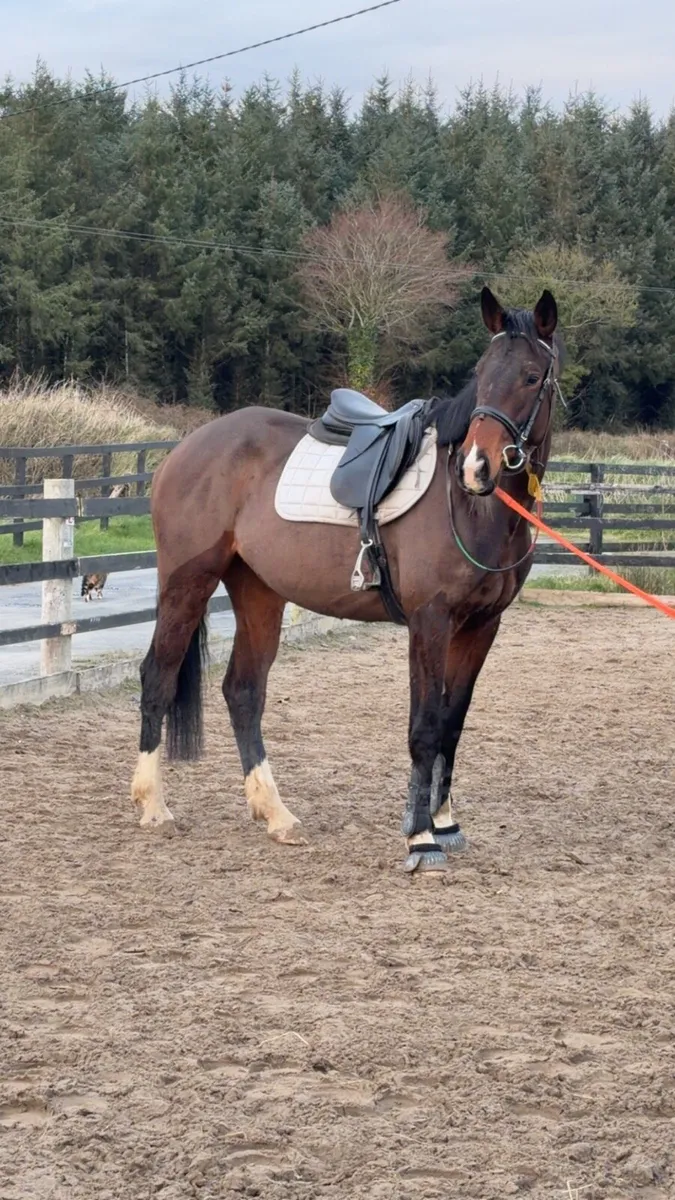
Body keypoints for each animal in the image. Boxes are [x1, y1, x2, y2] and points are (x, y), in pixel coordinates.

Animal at [131, 286, 561, 872]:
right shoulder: (430, 621)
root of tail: (186, 449)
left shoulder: (481, 626)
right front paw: (421, 838)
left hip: (257, 592)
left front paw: (445, 824)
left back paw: (276, 815)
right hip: (187, 584)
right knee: (158, 677)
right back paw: (154, 806)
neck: (473, 510)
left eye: (533, 376)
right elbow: (425, 726)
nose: (477, 467)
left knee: (243, 690)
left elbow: (452, 723)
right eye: (482, 372)